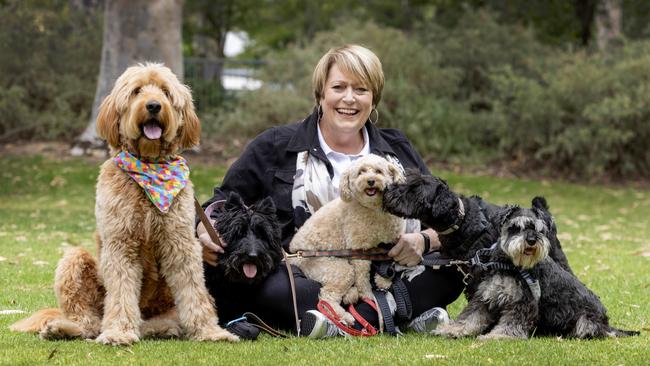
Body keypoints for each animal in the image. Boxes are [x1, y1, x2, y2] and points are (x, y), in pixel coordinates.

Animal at [10, 63, 237, 346]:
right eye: (137, 91)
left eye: (165, 91)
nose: (153, 105)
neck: (149, 166)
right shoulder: (120, 244)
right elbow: (120, 293)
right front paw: (118, 331)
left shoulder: (181, 245)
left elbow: (194, 292)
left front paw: (210, 331)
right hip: (75, 261)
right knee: (89, 322)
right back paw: (64, 328)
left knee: (157, 323)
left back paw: (161, 328)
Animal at [290, 153, 404, 324]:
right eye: (361, 172)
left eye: (378, 171)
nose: (371, 180)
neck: (374, 209)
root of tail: (293, 256)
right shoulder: (359, 249)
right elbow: (362, 278)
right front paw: (368, 296)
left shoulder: (391, 242)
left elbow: (388, 260)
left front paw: (384, 280)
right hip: (334, 268)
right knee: (327, 297)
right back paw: (343, 317)